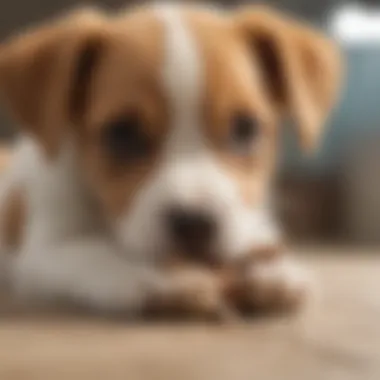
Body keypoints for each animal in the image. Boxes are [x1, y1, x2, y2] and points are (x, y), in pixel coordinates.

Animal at [0, 3, 342, 318]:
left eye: (245, 128)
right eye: (122, 132)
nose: (195, 224)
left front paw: (274, 268)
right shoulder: (45, 249)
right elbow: (95, 253)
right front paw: (162, 275)